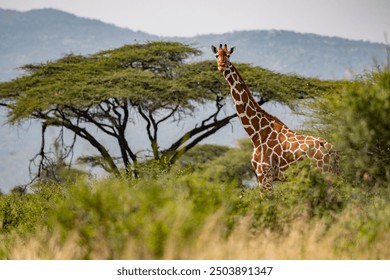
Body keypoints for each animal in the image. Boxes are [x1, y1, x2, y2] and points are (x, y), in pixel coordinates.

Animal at [212, 44, 336, 190]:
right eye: (217, 55)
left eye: (228, 55)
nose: (221, 66)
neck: (257, 133)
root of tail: (334, 151)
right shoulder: (261, 176)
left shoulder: (264, 174)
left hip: (325, 174)